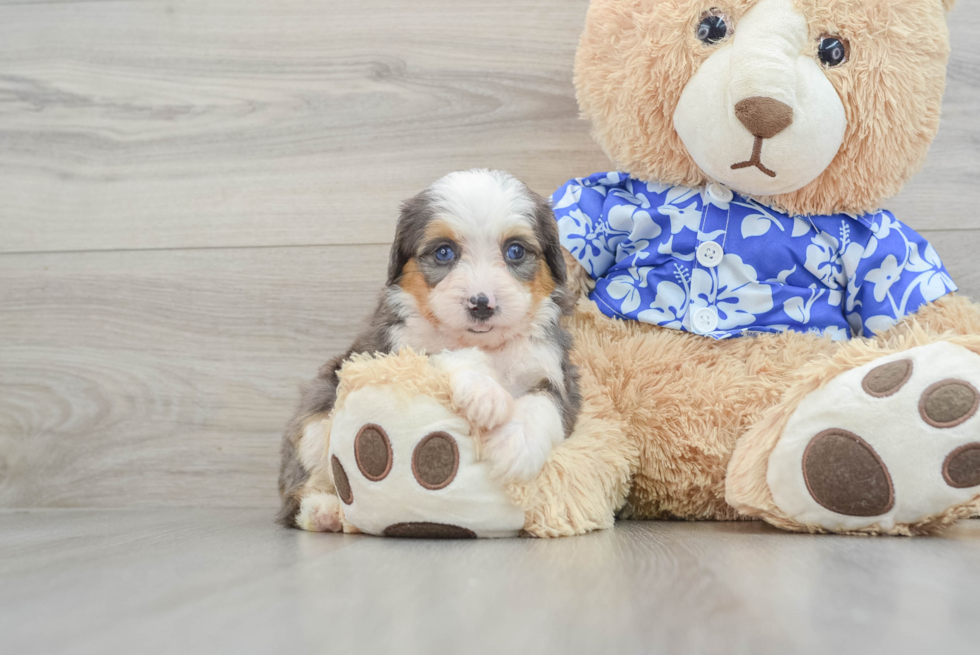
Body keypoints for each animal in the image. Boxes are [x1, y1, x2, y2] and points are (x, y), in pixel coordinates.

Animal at [276, 170, 580, 532]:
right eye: (444, 252)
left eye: (516, 251)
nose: (481, 304)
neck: (487, 344)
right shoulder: (392, 351)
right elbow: (445, 355)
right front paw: (486, 394)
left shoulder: (554, 370)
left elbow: (543, 403)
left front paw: (516, 445)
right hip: (316, 416)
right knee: (297, 493)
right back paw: (324, 510)